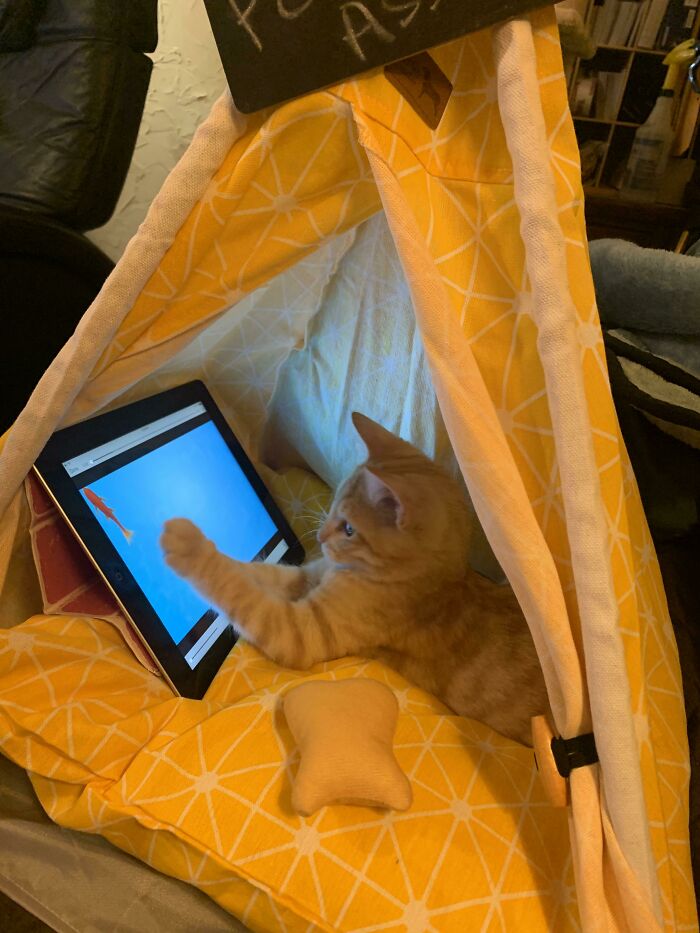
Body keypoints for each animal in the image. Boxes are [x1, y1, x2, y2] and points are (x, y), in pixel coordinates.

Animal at [163, 412, 548, 740]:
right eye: (334, 501)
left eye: (349, 529)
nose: (319, 538)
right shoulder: (307, 577)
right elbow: (254, 572)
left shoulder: (300, 633)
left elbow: (240, 591)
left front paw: (188, 547)